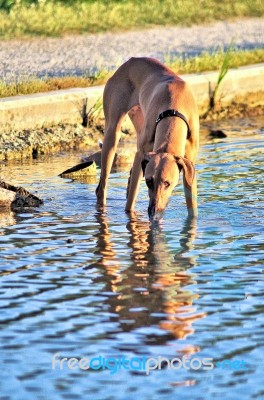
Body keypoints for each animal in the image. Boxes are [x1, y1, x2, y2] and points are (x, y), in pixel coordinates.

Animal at [96, 57, 199, 219]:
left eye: (167, 183)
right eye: (149, 181)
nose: (153, 213)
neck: (174, 109)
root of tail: (129, 62)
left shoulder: (190, 166)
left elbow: (192, 209)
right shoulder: (141, 155)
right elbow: (130, 203)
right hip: (112, 134)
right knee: (102, 187)